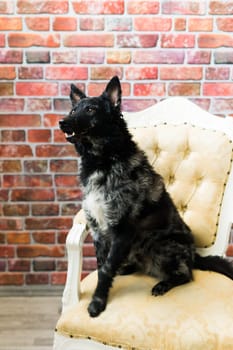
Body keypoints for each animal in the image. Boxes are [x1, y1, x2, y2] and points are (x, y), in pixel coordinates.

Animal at [60, 76, 233, 318]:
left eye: (91, 109)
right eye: (73, 109)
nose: (62, 122)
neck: (104, 160)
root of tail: (194, 254)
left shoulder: (122, 229)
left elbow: (105, 269)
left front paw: (97, 303)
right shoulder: (98, 230)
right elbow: (102, 264)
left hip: (159, 244)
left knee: (187, 274)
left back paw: (164, 283)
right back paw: (127, 268)